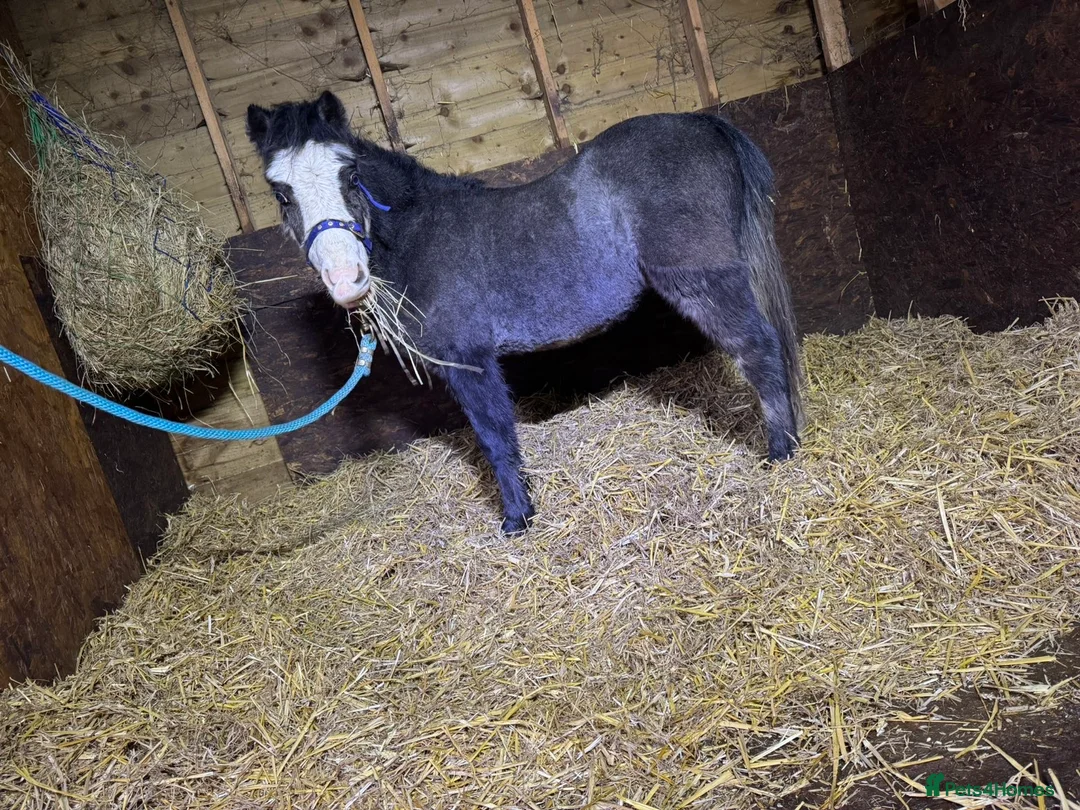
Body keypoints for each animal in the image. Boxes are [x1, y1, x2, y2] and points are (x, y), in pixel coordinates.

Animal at [246, 90, 805, 535]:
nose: (347, 280)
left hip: (704, 280)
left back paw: (780, 453)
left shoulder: (469, 361)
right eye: (281, 193)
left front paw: (517, 519)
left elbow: (495, 438)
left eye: (351, 174)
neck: (419, 234)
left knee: (759, 349)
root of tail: (704, 123)